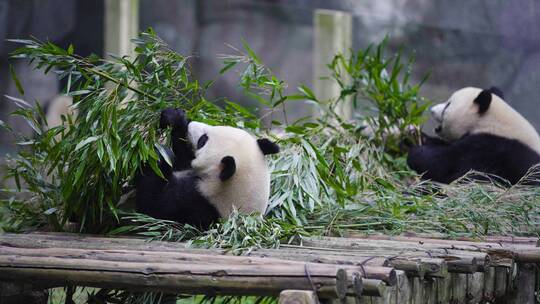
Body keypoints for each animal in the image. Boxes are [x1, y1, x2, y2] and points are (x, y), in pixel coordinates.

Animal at [134, 108, 280, 229]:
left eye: (203, 141)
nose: (191, 124)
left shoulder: (196, 204)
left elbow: (153, 207)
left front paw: (158, 155)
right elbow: (183, 157)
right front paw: (176, 118)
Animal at [404, 86, 540, 184]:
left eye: (448, 104)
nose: (432, 109)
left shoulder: (492, 149)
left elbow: (444, 166)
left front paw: (415, 151)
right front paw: (411, 134)